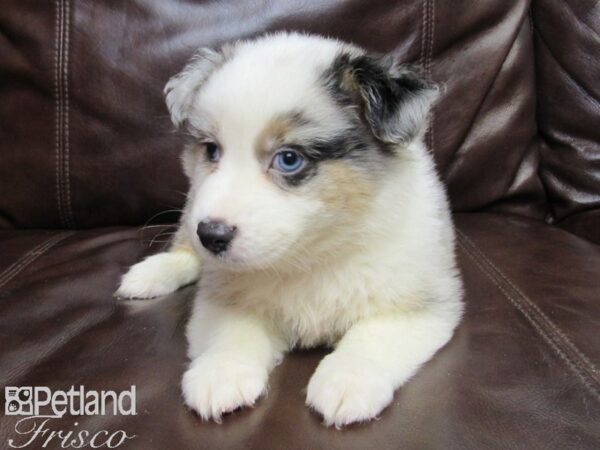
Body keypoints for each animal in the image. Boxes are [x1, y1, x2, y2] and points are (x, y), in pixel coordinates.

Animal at [118, 32, 464, 428]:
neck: (312, 255)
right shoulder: (222, 293)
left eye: (288, 159)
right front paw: (221, 372)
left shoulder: (421, 303)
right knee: (183, 247)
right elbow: (233, 330)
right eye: (211, 150)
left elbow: (374, 336)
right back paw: (149, 275)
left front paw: (348, 380)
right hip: (192, 207)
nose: (211, 236)